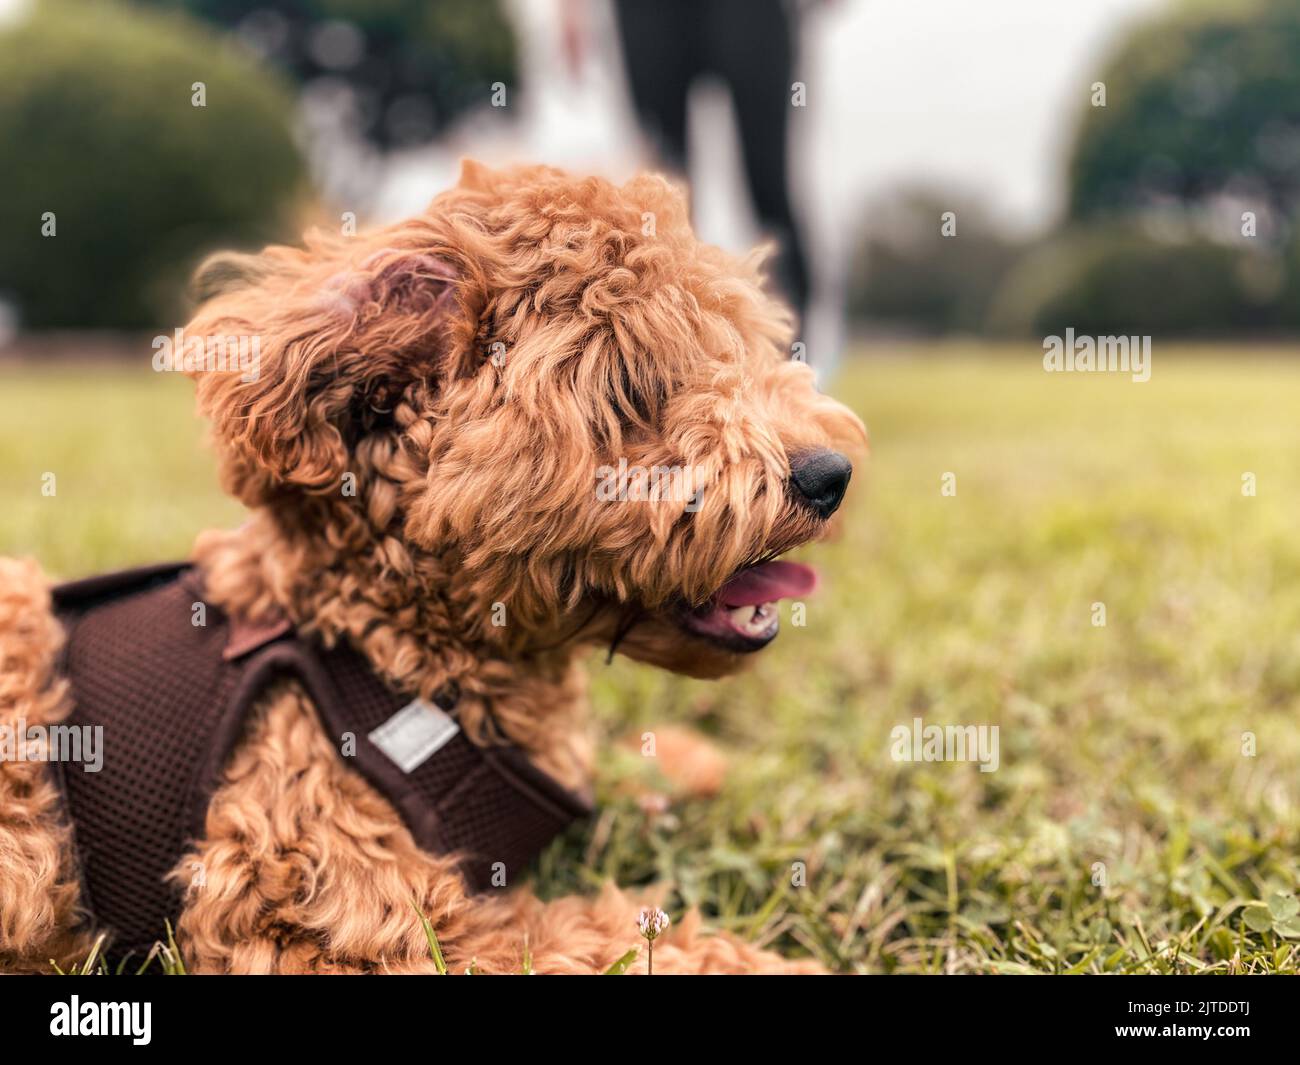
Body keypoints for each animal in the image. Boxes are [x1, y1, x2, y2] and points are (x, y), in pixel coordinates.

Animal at [0, 160, 863, 972]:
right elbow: (611, 940)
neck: (380, 636)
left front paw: (702, 767)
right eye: (630, 386)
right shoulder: (336, 918)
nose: (831, 474)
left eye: (731, 344)